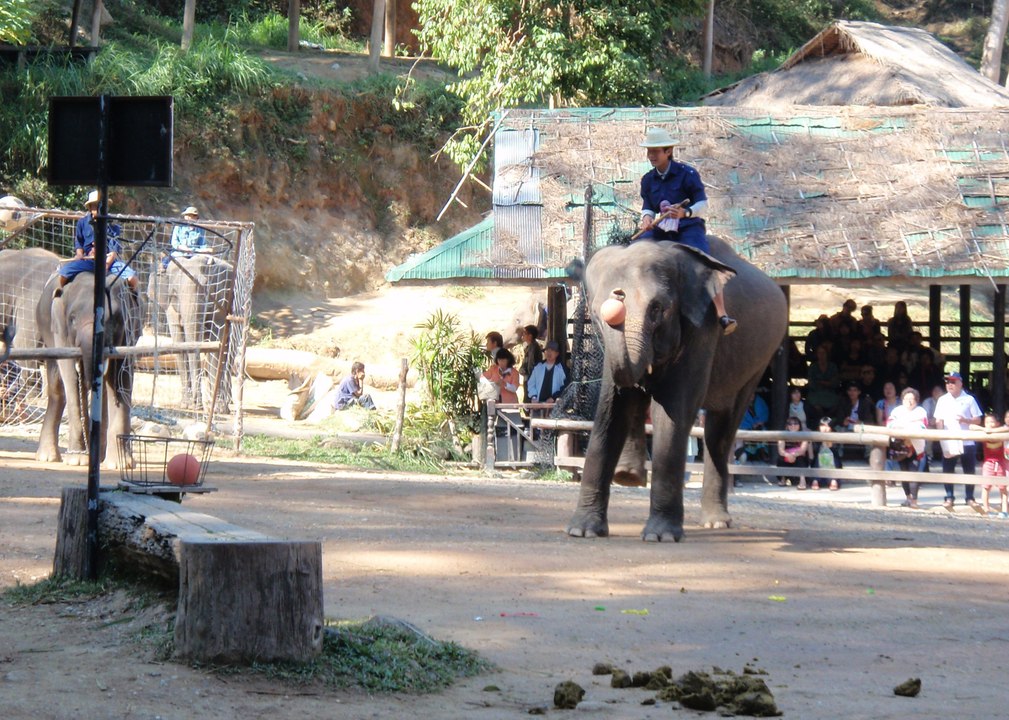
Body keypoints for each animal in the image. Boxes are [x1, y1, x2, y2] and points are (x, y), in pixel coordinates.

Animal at [36, 266, 139, 469]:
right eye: (73, 319)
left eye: (116, 319)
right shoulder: (60, 328)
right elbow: (70, 377)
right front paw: (78, 460)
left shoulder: (129, 332)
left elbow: (120, 379)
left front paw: (120, 465)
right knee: (58, 385)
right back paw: (48, 457)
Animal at [147, 254, 233, 414]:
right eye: (174, 292)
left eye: (207, 289)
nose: (196, 404)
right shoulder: (171, 308)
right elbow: (180, 345)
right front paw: (187, 405)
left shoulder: (224, 298)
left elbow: (217, 347)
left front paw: (216, 409)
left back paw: (224, 403)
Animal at [566, 237, 788, 542]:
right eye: (597, 315)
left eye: (657, 309)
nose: (618, 296)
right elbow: (610, 413)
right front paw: (582, 531)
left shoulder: (702, 328)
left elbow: (672, 411)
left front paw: (661, 536)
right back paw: (628, 475)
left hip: (758, 360)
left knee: (720, 431)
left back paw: (715, 522)